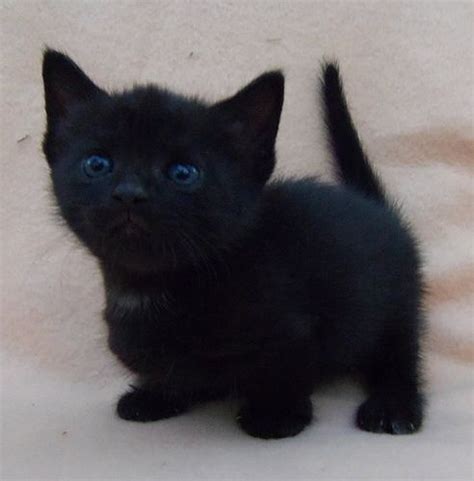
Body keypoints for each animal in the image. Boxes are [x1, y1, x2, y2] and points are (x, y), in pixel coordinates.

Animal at [42, 50, 424, 436]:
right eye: (97, 163)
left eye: (183, 173)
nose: (130, 193)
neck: (152, 286)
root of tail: (374, 204)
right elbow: (176, 372)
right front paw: (156, 396)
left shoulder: (296, 333)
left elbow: (287, 372)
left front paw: (277, 415)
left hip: (394, 304)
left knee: (399, 352)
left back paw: (392, 406)